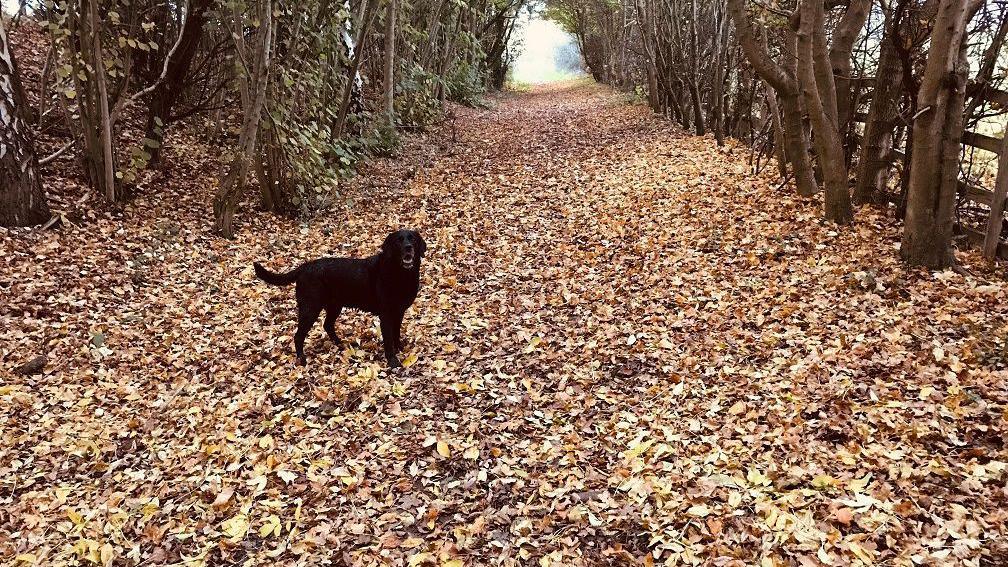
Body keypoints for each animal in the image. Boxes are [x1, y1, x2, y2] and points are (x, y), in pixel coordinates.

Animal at [256, 230, 425, 367]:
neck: (400, 274)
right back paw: (302, 359)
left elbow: (396, 333)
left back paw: (340, 344)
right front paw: (393, 361)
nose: (408, 247)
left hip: (334, 306)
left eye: (413, 239)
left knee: (327, 325)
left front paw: (399, 347)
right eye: (398, 240)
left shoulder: (399, 311)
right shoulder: (386, 315)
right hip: (310, 309)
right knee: (298, 336)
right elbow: (388, 340)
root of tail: (304, 267)